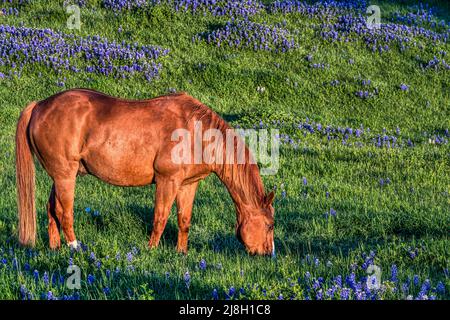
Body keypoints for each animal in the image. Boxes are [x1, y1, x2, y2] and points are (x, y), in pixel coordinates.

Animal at [14, 89, 274, 256]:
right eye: (270, 225)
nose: (267, 254)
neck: (195, 132)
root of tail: (39, 106)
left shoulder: (188, 184)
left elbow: (184, 220)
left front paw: (181, 253)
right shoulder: (167, 181)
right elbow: (160, 217)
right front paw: (151, 250)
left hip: (60, 177)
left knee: (51, 209)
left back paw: (55, 247)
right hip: (65, 177)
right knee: (64, 212)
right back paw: (74, 247)